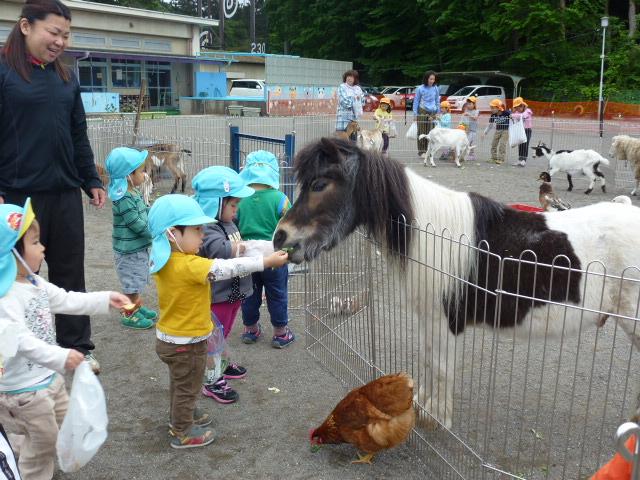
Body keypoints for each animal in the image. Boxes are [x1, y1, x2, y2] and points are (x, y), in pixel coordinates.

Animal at [272, 138, 640, 428]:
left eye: (320, 185)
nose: (281, 238)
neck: (432, 235)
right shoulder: (429, 318)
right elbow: (428, 359)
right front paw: (423, 405)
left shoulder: (446, 320)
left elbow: (442, 366)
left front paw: (438, 417)